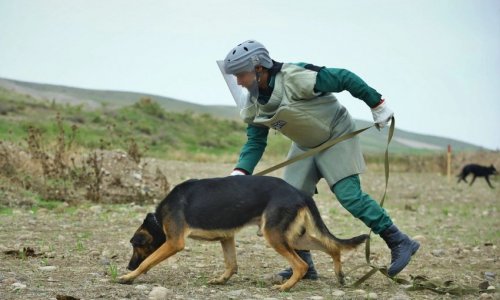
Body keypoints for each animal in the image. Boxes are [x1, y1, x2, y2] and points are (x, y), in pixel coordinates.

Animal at [117, 176, 368, 290]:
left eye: (135, 245)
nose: (128, 266)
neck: (158, 219)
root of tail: (298, 193)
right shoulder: (227, 238)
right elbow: (231, 264)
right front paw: (221, 280)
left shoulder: (174, 242)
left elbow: (147, 261)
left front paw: (129, 277)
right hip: (295, 237)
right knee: (332, 246)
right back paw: (339, 274)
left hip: (274, 236)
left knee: (301, 264)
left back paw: (285, 287)